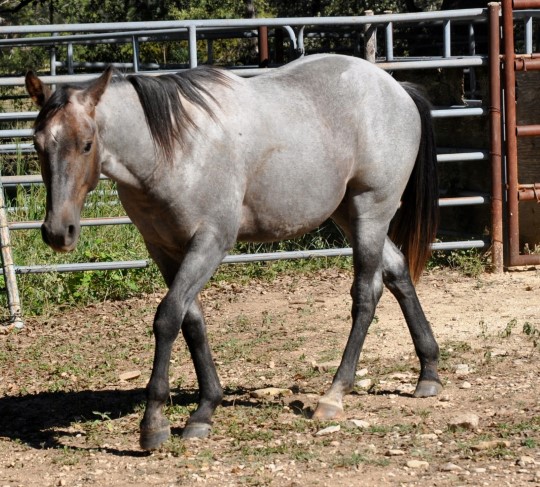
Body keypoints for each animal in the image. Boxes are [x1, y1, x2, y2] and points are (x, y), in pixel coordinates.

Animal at [24, 52, 442, 450]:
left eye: (87, 144)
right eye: (38, 144)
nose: (58, 231)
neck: (174, 150)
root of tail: (395, 88)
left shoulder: (210, 242)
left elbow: (167, 318)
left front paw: (154, 422)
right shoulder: (165, 249)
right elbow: (192, 322)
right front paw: (205, 409)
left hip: (371, 209)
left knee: (366, 294)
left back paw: (334, 394)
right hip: (347, 213)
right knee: (397, 270)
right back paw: (429, 372)